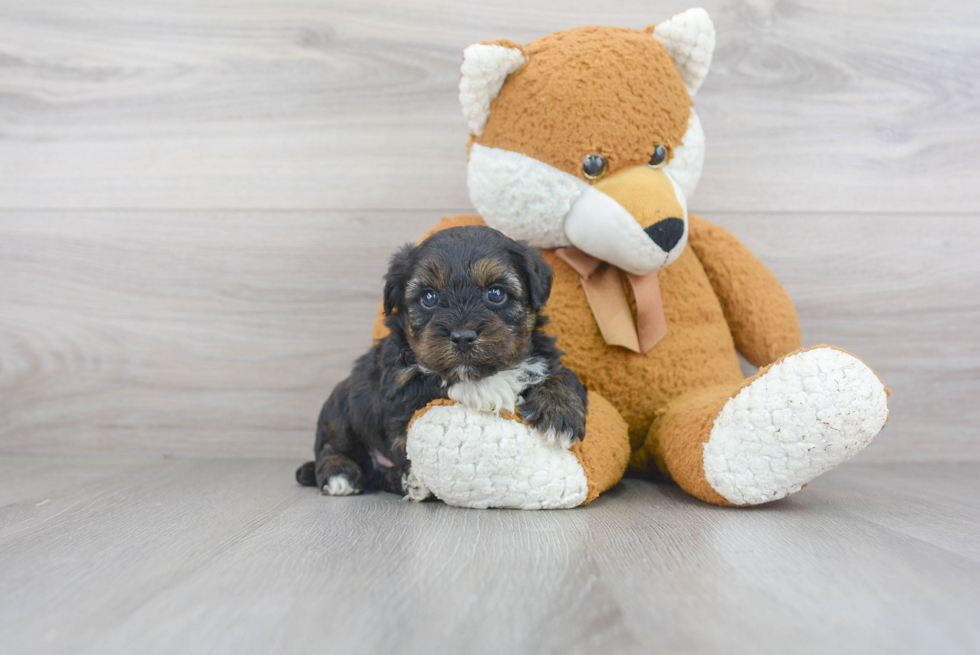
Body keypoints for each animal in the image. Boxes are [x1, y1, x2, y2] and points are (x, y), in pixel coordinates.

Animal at [296, 226, 588, 498]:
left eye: (496, 293)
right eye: (429, 297)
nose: (462, 337)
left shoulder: (547, 357)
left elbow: (563, 375)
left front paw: (558, 414)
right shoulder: (399, 385)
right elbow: (439, 379)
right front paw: (489, 389)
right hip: (341, 410)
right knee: (332, 448)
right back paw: (341, 475)